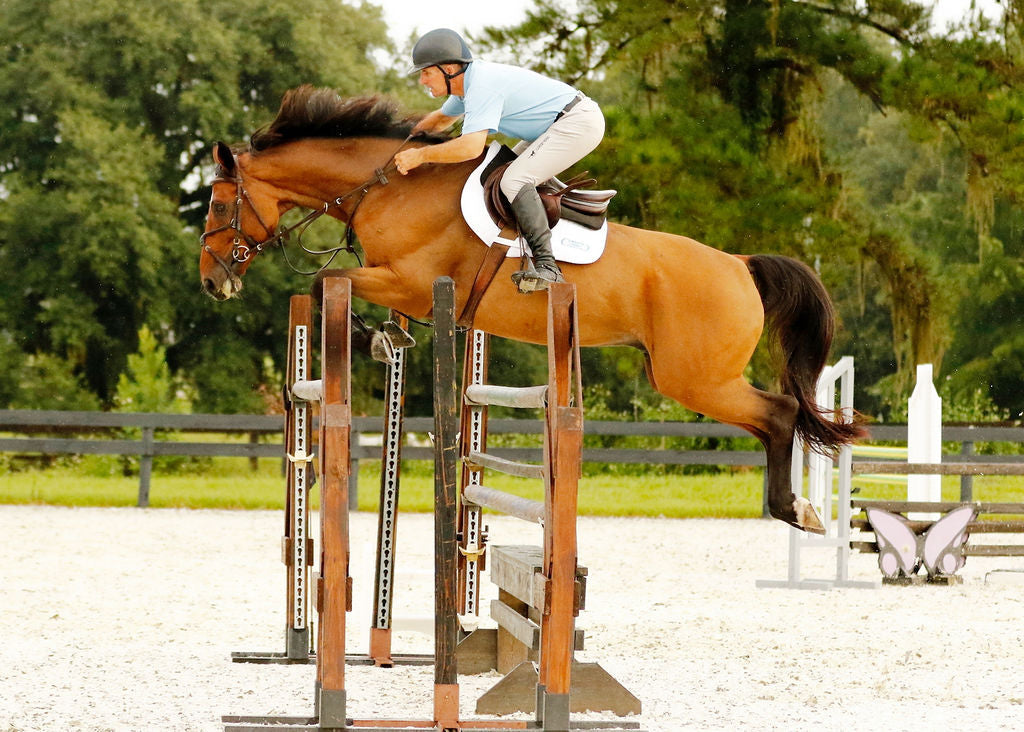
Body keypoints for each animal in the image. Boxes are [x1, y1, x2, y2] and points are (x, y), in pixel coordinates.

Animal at [198, 86, 865, 534]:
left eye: (219, 203)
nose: (212, 282)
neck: (388, 187)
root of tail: (740, 264)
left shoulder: (408, 283)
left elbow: (326, 281)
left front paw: (379, 339)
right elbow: (335, 288)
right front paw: (388, 339)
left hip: (695, 378)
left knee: (780, 414)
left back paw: (795, 509)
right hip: (687, 375)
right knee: (775, 417)